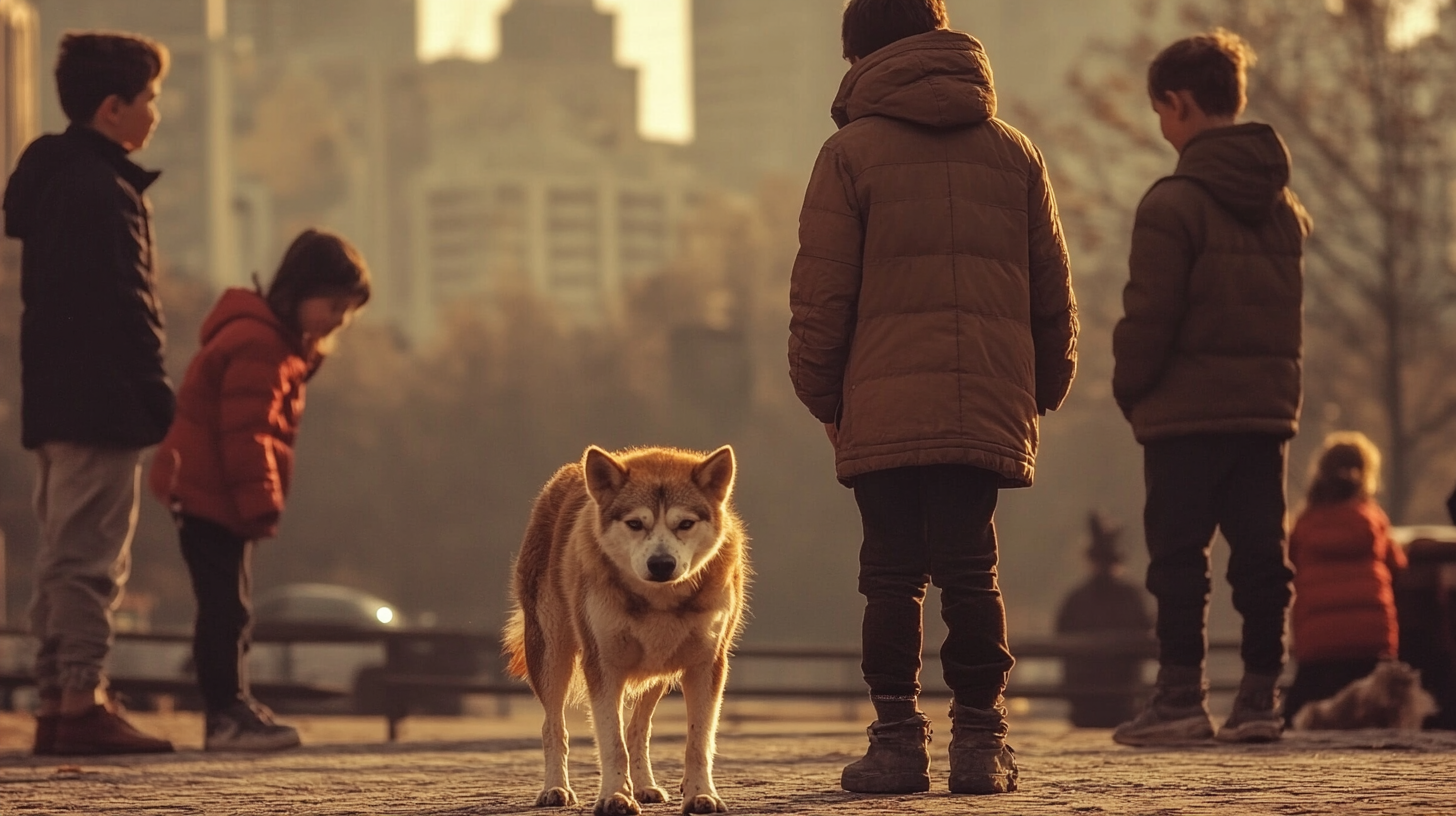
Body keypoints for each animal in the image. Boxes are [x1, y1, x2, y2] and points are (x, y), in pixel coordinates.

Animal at [503, 445, 751, 816]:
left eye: (685, 524)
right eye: (635, 524)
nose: (661, 564)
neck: (658, 601)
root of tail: (569, 472)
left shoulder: (707, 665)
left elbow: (698, 741)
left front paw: (700, 795)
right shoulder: (603, 664)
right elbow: (612, 741)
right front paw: (616, 796)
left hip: (659, 671)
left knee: (639, 728)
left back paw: (646, 786)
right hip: (552, 654)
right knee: (553, 727)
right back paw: (555, 789)